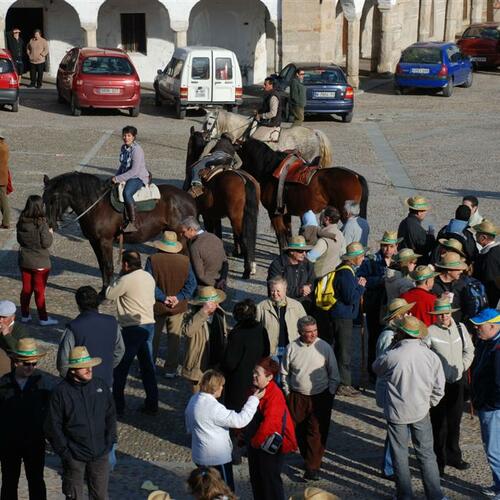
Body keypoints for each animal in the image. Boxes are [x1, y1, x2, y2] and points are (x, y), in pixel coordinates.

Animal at [43, 172, 196, 292]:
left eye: (55, 198)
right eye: (44, 198)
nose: (50, 224)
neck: (96, 206)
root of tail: (190, 199)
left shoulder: (105, 241)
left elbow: (108, 266)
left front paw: (106, 292)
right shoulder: (94, 241)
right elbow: (102, 265)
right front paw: (104, 289)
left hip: (181, 237)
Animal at [186, 127, 260, 280]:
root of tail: (244, 179)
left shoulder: (204, 214)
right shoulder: (214, 215)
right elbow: (218, 234)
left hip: (236, 218)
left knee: (243, 238)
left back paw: (246, 271)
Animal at [236, 139, 370, 250]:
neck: (269, 170)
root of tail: (355, 175)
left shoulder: (273, 213)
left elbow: (281, 236)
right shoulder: (286, 212)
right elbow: (288, 234)